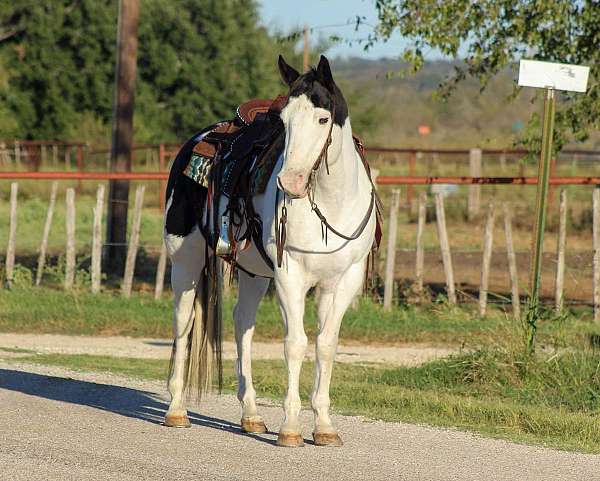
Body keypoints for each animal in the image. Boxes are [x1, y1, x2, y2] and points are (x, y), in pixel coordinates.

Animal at [163, 53, 380, 446]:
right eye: (285, 121)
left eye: (322, 118)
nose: (290, 182)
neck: (331, 204)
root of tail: (195, 142)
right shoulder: (289, 275)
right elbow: (295, 343)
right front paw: (291, 428)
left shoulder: (343, 280)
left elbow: (326, 344)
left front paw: (324, 427)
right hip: (185, 261)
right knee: (183, 324)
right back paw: (176, 410)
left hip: (253, 274)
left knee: (242, 323)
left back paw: (251, 416)